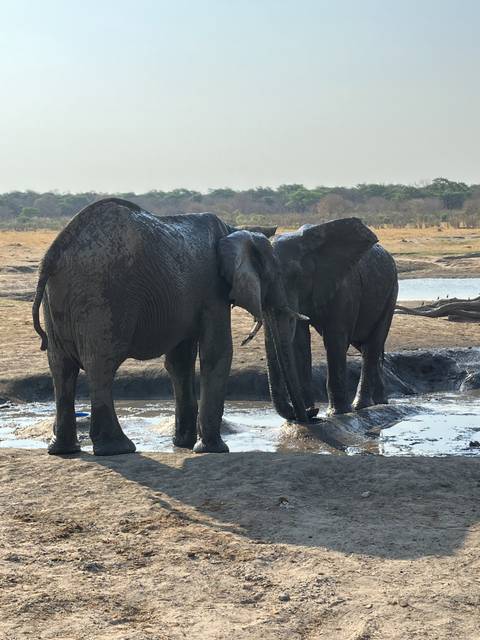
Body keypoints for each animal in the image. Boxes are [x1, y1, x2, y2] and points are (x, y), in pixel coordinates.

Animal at [32, 198, 308, 456]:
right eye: (276, 275)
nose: (307, 415)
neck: (234, 230)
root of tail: (54, 252)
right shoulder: (213, 291)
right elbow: (217, 353)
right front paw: (213, 449)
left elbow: (180, 362)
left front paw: (183, 444)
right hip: (102, 295)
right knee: (101, 366)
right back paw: (118, 448)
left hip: (58, 298)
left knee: (61, 368)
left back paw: (64, 450)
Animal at [256, 218, 398, 419]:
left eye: (295, 275)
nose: (311, 412)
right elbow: (299, 342)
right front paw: (311, 410)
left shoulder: (344, 286)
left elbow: (334, 338)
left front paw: (337, 413)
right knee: (364, 346)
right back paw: (379, 402)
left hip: (391, 291)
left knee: (372, 344)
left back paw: (361, 406)